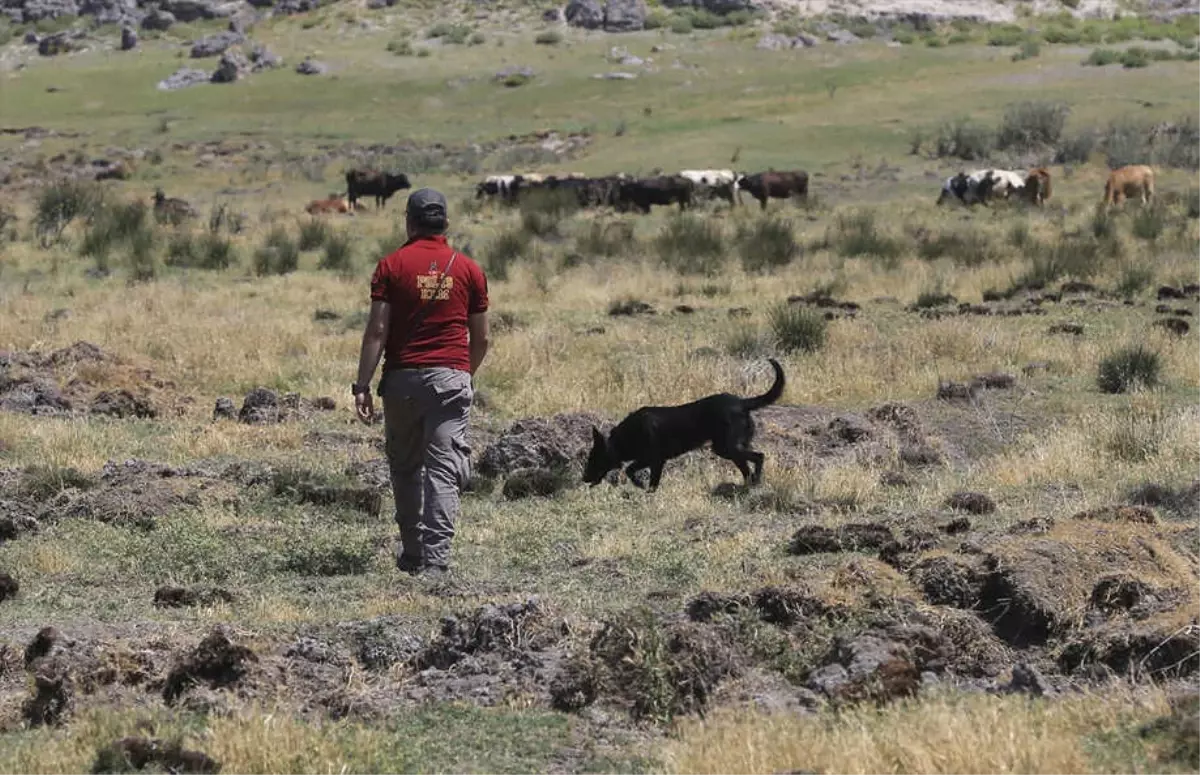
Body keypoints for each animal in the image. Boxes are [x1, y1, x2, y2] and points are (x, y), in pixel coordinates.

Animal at [583, 359, 787, 491]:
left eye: (593, 459)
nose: (583, 479)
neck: (626, 436)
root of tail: (741, 402)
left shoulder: (655, 459)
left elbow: (632, 470)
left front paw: (642, 487)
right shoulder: (655, 461)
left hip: (726, 447)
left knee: (759, 456)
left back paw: (757, 482)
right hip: (730, 448)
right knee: (746, 468)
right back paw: (747, 486)